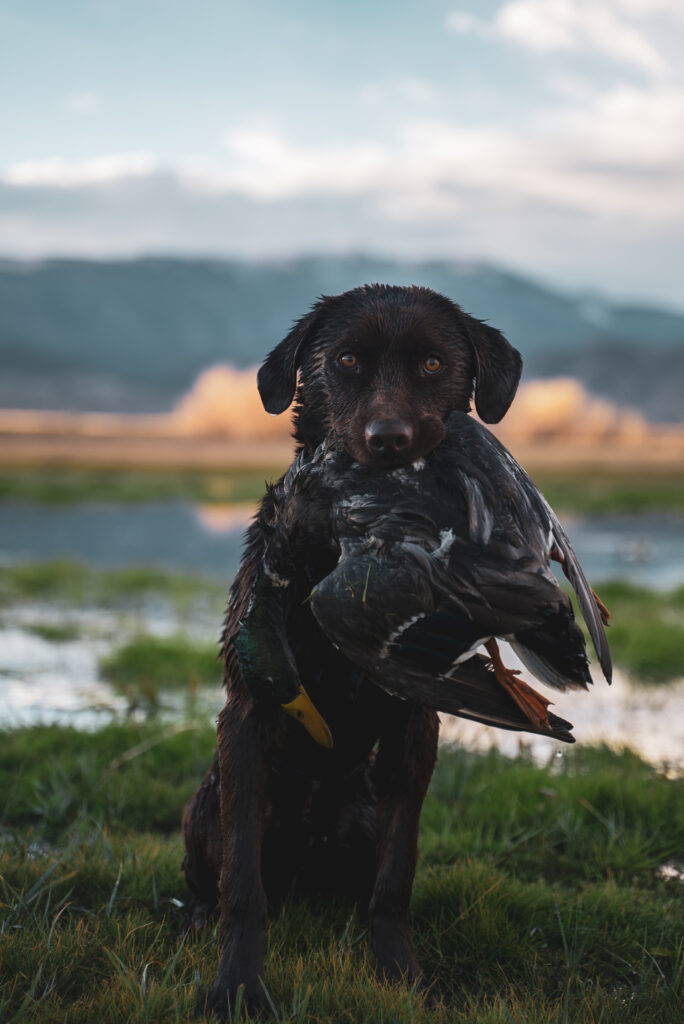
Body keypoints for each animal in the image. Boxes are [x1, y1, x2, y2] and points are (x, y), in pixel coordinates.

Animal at [181, 282, 524, 1015]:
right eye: (344, 360)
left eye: (431, 363)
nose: (388, 440)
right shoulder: (247, 716)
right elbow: (242, 887)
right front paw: (237, 987)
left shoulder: (414, 729)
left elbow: (394, 881)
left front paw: (401, 976)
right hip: (207, 803)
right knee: (219, 879)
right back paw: (195, 919)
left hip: (361, 811)